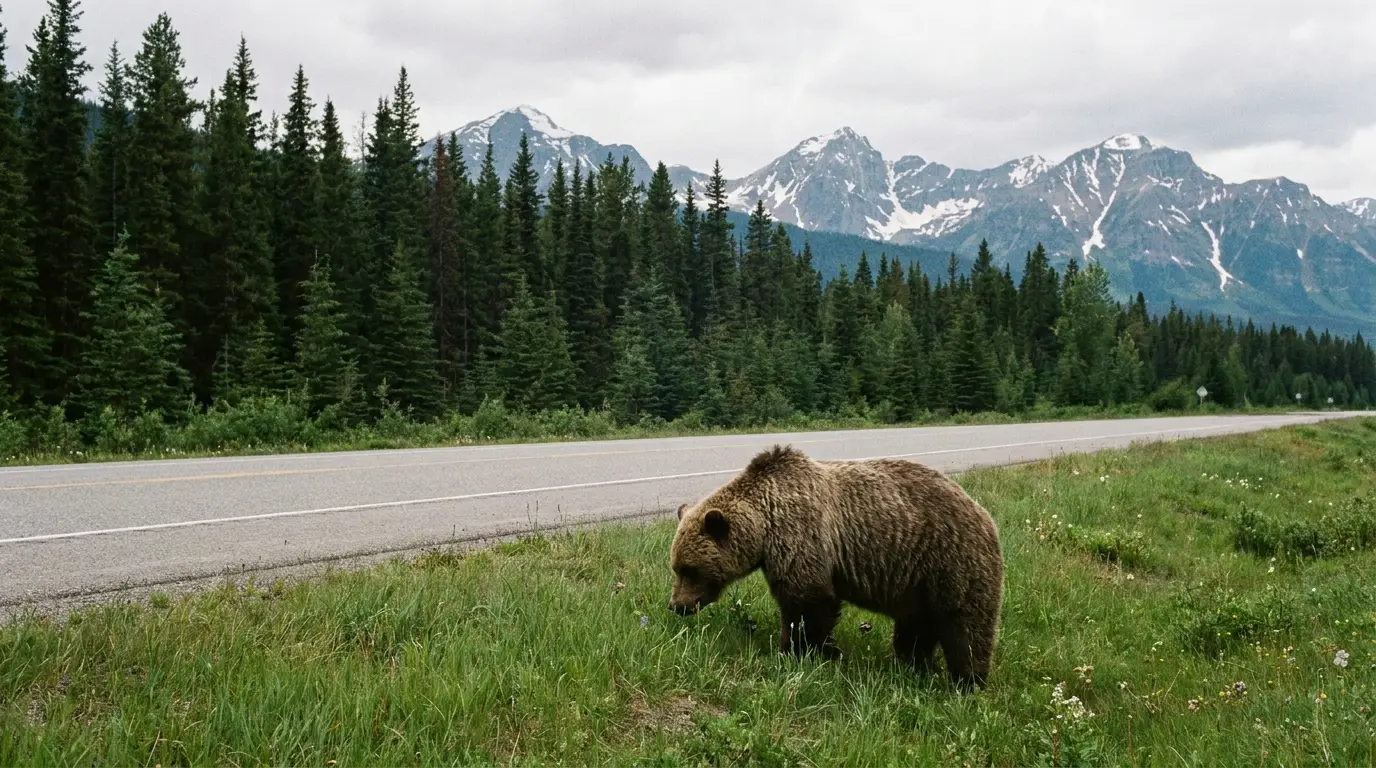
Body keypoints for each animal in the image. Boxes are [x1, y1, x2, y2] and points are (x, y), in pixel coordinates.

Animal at [667, 444, 1005, 689]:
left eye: (690, 569)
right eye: (676, 567)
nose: (676, 605)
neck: (766, 526)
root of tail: (985, 515)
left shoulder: (803, 536)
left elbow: (808, 603)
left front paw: (801, 651)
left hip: (952, 562)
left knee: (966, 627)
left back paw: (967, 681)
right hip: (919, 584)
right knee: (917, 627)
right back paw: (912, 663)